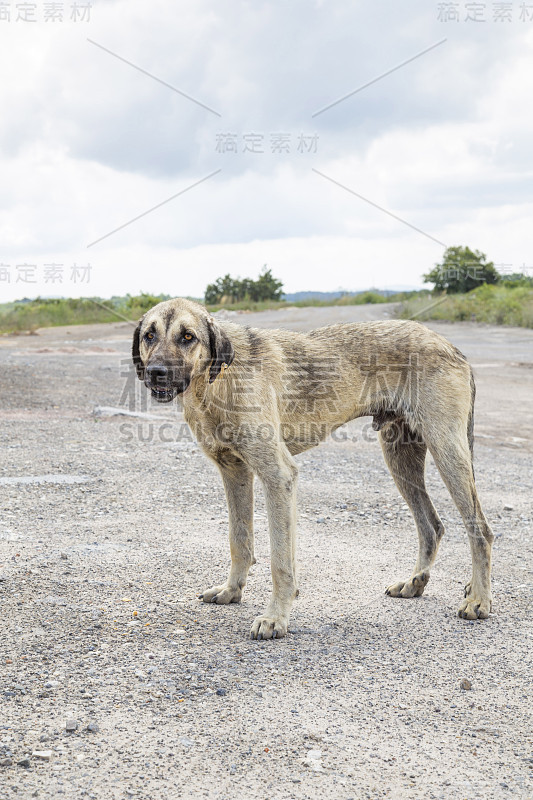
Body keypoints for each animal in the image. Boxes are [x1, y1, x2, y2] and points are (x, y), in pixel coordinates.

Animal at [131, 296, 492, 640]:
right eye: (149, 335)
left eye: (187, 337)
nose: (156, 372)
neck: (218, 379)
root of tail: (449, 345)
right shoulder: (235, 473)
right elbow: (239, 540)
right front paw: (233, 590)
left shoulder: (278, 475)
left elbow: (280, 561)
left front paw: (275, 617)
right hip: (401, 460)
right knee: (432, 526)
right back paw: (415, 582)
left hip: (448, 454)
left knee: (481, 531)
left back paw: (479, 600)